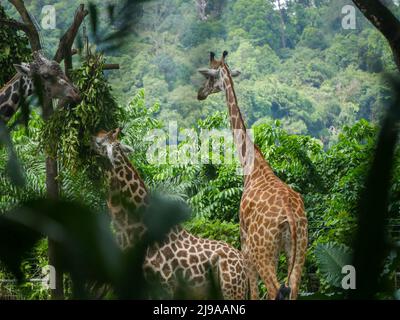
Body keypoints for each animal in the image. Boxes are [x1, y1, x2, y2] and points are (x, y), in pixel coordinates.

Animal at [196, 50, 306, 300]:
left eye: (209, 78)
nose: (200, 94)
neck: (252, 165)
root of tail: (290, 215)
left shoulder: (244, 240)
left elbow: (254, 292)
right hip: (299, 248)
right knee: (293, 288)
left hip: (263, 249)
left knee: (274, 289)